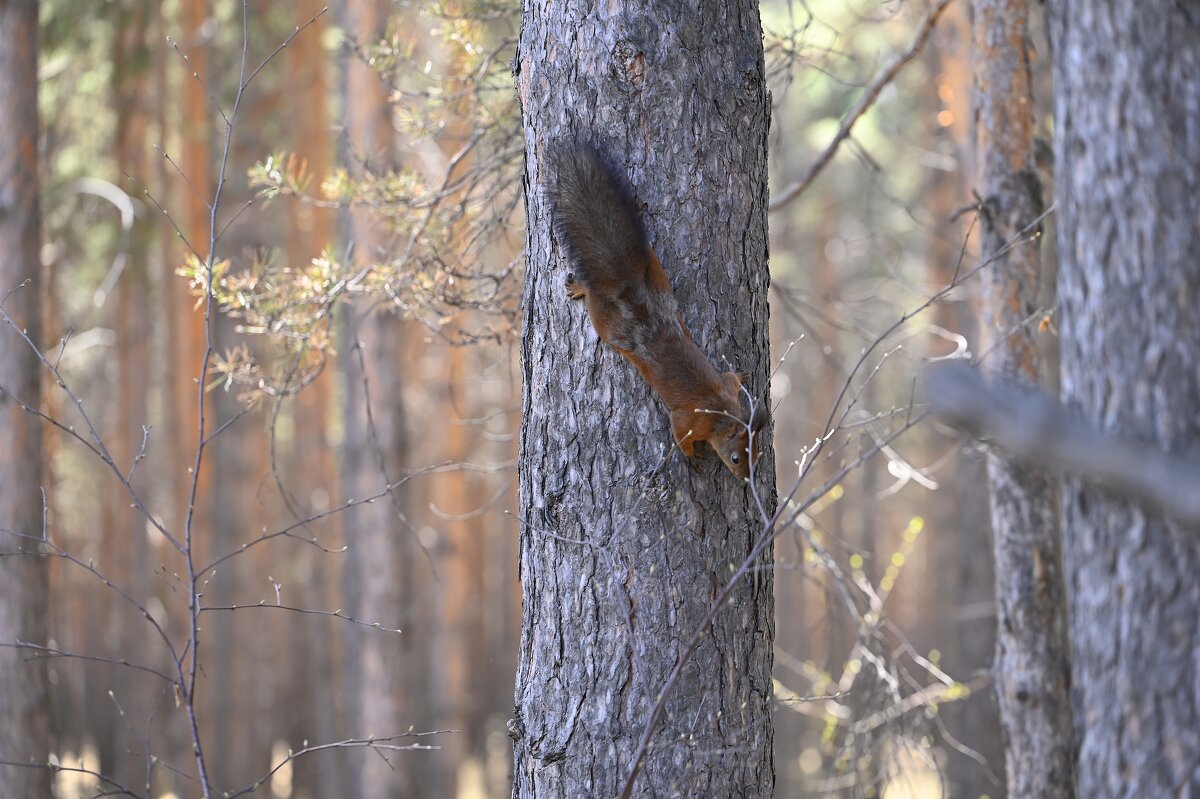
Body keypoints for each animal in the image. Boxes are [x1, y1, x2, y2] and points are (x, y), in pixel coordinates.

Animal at [548, 143, 766, 480]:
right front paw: (692, 457)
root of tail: (630, 292)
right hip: (605, 323)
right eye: (735, 458)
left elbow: (730, 377)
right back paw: (581, 288)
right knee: (595, 299)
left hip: (656, 273)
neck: (722, 414)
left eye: (757, 455)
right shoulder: (691, 420)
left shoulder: (727, 390)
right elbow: (679, 433)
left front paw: (741, 374)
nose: (746, 481)